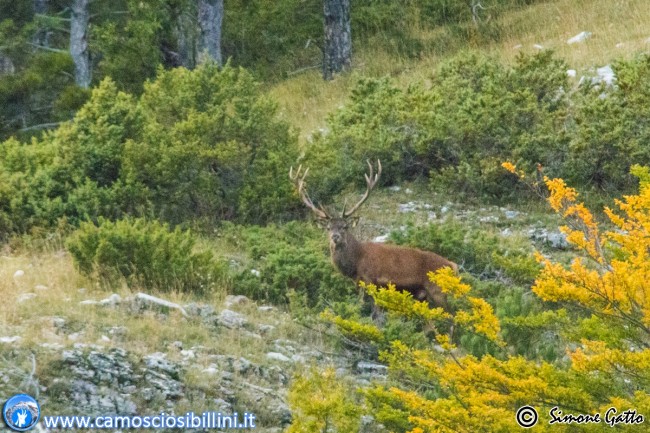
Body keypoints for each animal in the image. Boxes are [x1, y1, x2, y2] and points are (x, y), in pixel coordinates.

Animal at [289, 160, 458, 319]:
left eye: (345, 226)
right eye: (328, 228)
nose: (335, 237)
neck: (356, 263)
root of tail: (453, 266)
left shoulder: (372, 280)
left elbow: (373, 312)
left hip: (438, 291)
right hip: (426, 296)